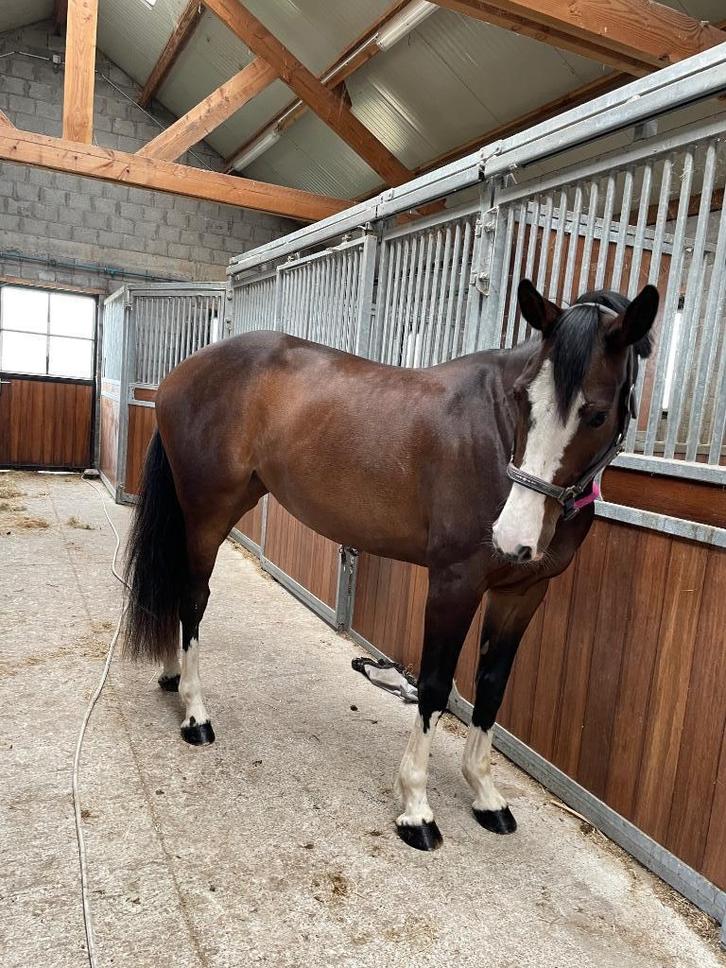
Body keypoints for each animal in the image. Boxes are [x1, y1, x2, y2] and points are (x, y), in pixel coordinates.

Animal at [124, 279, 658, 851]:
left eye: (596, 413)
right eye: (521, 399)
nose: (511, 538)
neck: (492, 433)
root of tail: (180, 375)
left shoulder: (523, 591)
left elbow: (492, 685)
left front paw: (486, 796)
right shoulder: (454, 583)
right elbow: (435, 685)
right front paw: (416, 809)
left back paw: (173, 677)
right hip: (208, 512)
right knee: (193, 598)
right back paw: (195, 713)